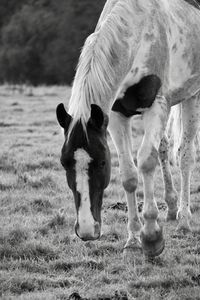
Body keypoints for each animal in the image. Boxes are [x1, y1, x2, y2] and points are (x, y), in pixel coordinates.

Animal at [55, 0, 200, 258]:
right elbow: (129, 174)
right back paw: (172, 207)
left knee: (185, 155)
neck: (138, 34)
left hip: (191, 95)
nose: (87, 230)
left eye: (102, 162)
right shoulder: (115, 116)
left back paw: (184, 219)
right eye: (64, 163)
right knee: (164, 148)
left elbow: (146, 162)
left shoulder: (156, 106)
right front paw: (133, 239)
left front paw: (151, 236)